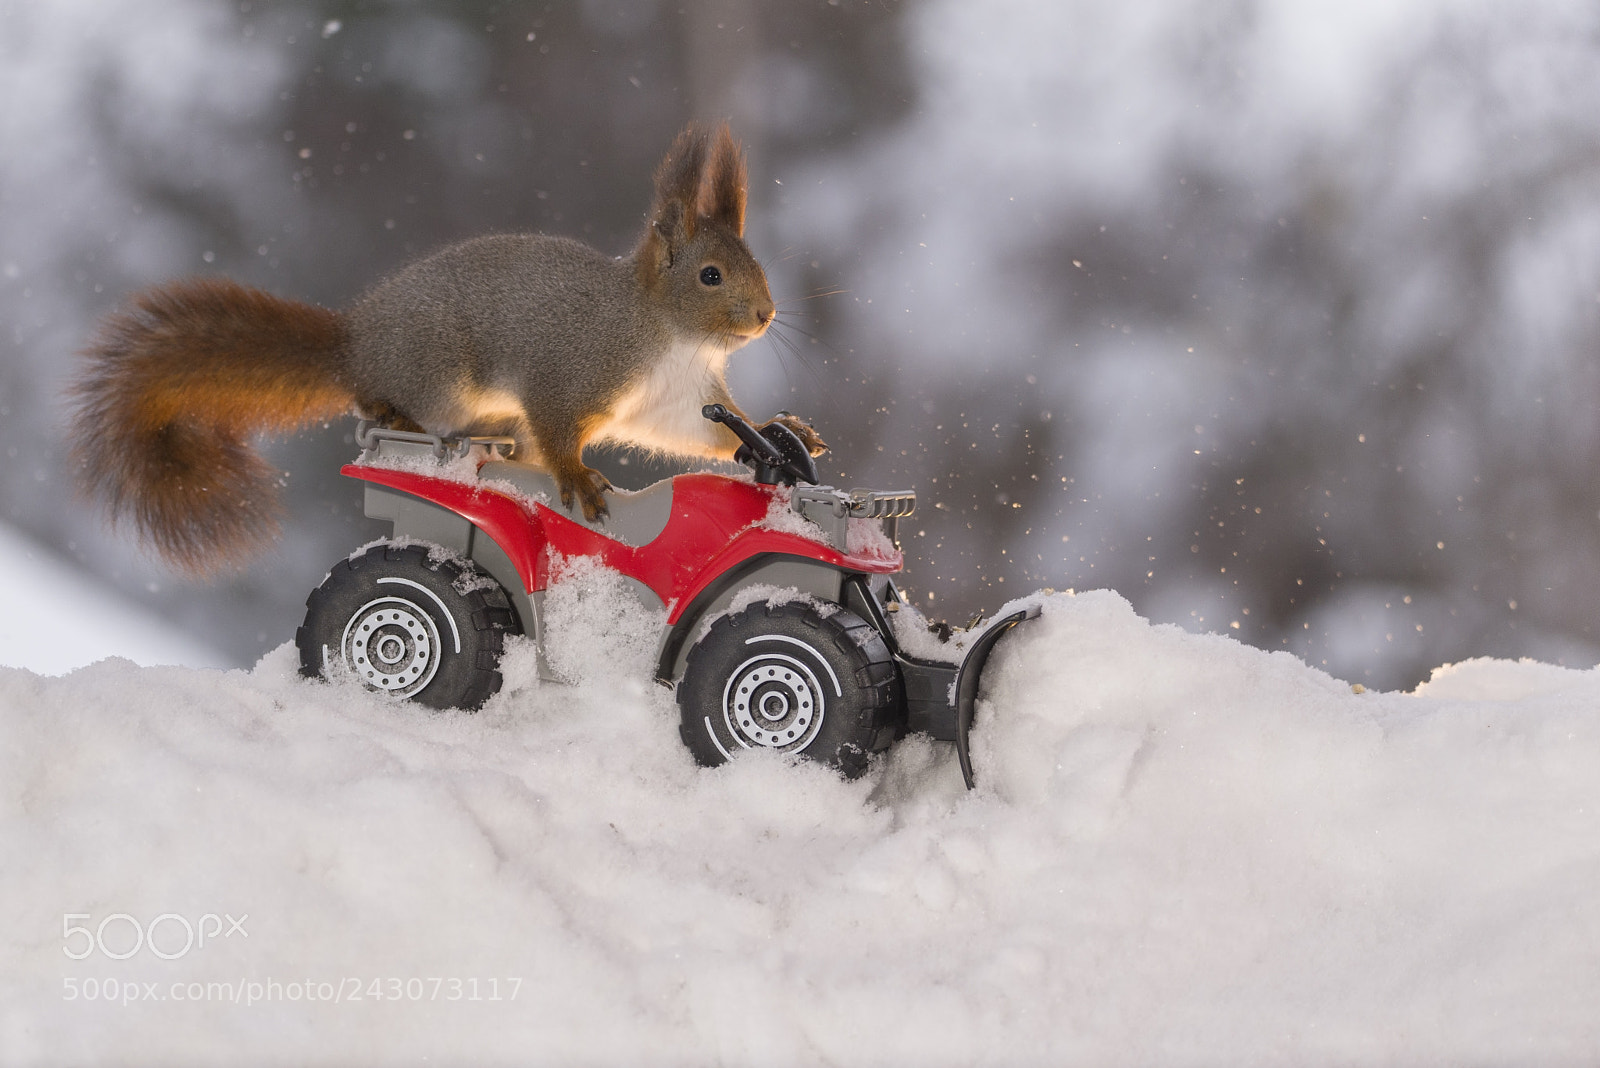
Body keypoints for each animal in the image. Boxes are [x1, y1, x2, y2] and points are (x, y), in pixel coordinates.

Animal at [70, 123, 825, 574]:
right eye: (710, 276)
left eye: (755, 263)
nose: (766, 315)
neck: (670, 339)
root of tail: (356, 343)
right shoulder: (574, 368)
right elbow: (558, 429)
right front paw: (578, 479)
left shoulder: (677, 399)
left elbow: (708, 432)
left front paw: (779, 433)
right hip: (439, 374)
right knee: (388, 404)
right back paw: (414, 420)